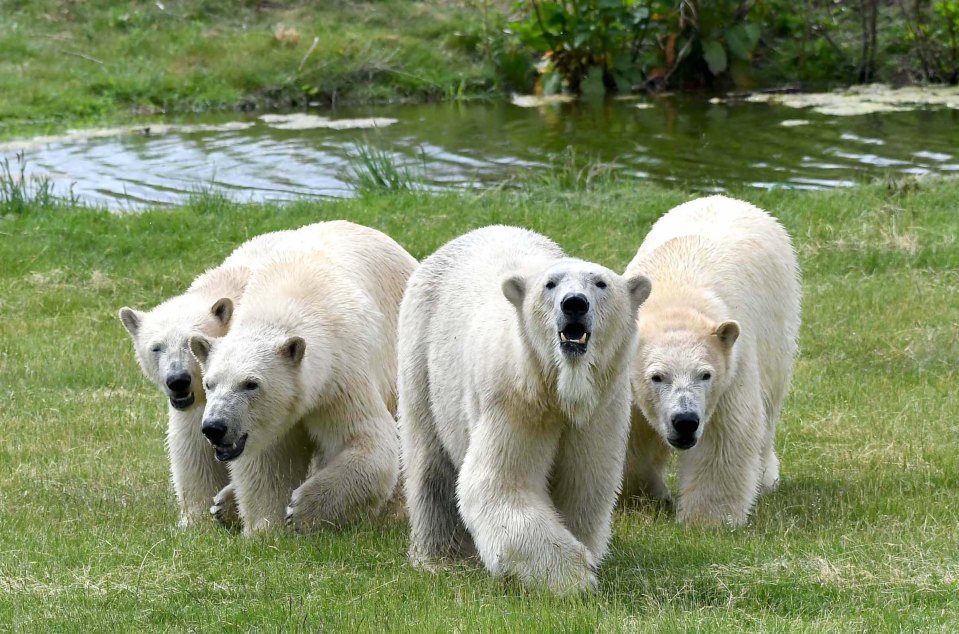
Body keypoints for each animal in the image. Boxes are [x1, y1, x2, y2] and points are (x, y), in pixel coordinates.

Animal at [119, 230, 288, 524]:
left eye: (190, 343)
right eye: (156, 347)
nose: (178, 380)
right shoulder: (198, 401)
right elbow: (192, 446)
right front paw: (194, 519)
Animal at [190, 222, 416, 532]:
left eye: (251, 384)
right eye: (209, 384)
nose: (215, 427)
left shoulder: (340, 376)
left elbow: (368, 441)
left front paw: (301, 510)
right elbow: (268, 462)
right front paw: (265, 527)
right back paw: (223, 504)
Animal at [398, 225, 652, 592]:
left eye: (600, 283)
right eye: (551, 283)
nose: (574, 303)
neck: (560, 388)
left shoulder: (601, 408)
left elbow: (585, 483)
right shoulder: (514, 399)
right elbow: (502, 483)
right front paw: (573, 576)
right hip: (422, 351)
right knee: (430, 462)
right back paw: (440, 557)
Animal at [624, 195, 804, 524]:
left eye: (704, 375)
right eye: (657, 376)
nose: (685, 421)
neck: (674, 298)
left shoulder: (731, 369)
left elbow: (724, 437)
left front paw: (708, 520)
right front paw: (643, 496)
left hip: (779, 321)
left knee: (770, 405)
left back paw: (766, 478)